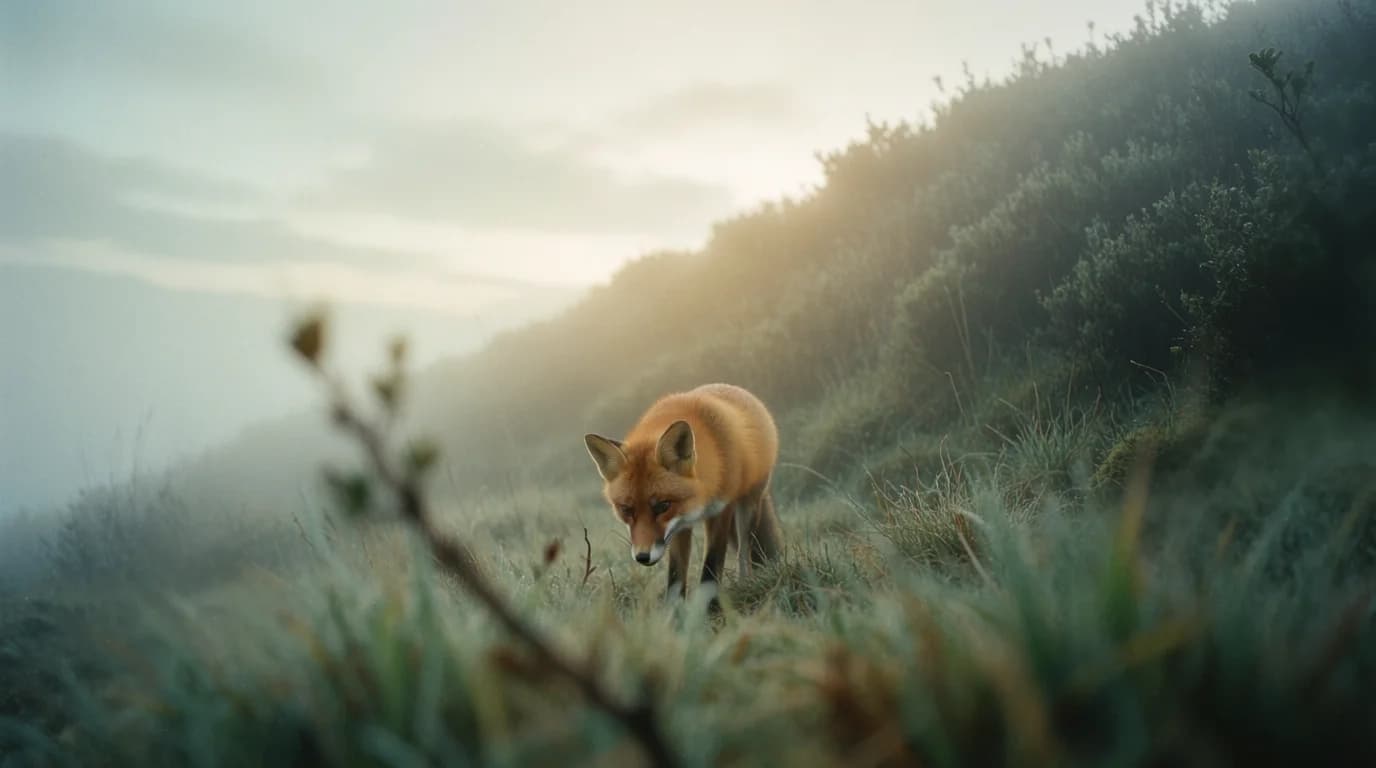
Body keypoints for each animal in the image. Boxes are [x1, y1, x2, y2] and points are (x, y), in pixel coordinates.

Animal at [583, 383, 783, 607]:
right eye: (626, 509)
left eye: (662, 506)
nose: (642, 556)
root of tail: (733, 388)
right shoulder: (679, 525)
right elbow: (676, 575)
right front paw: (673, 611)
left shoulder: (721, 510)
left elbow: (712, 565)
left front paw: (708, 608)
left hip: (748, 505)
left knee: (744, 551)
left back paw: (744, 583)